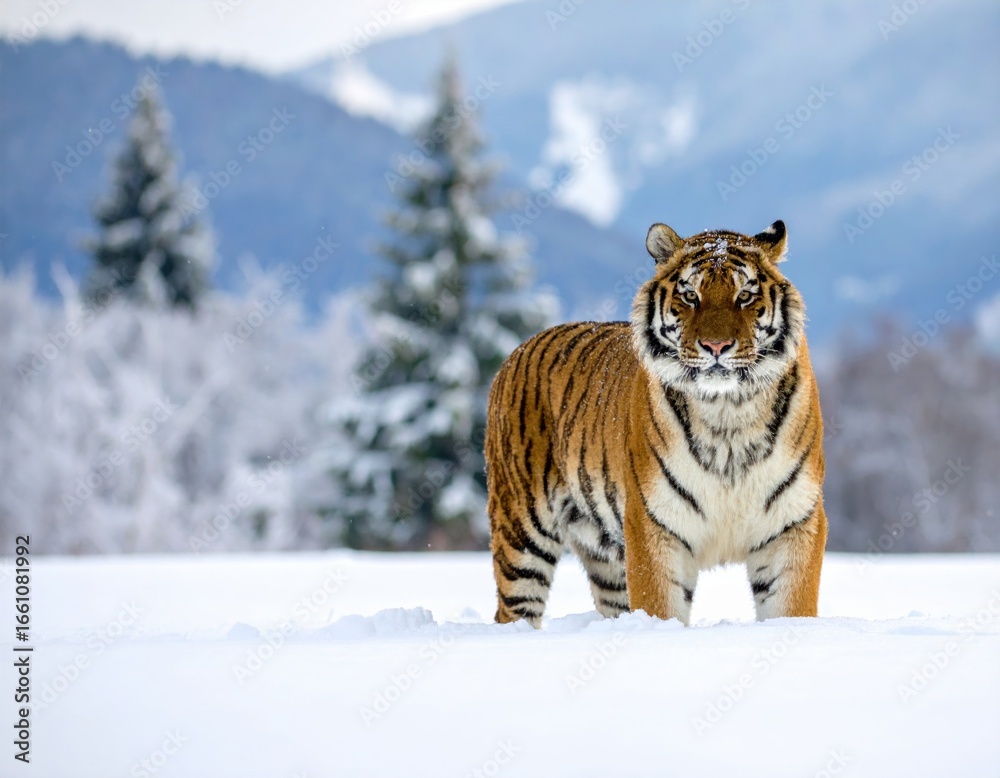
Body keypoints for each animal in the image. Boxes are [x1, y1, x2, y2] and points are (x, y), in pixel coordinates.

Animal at [485, 220, 826, 627]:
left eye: (744, 295)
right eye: (691, 295)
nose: (716, 346)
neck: (728, 413)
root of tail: (516, 352)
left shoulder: (793, 524)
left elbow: (791, 609)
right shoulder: (653, 525)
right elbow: (659, 608)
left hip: (605, 559)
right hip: (521, 532)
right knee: (513, 610)